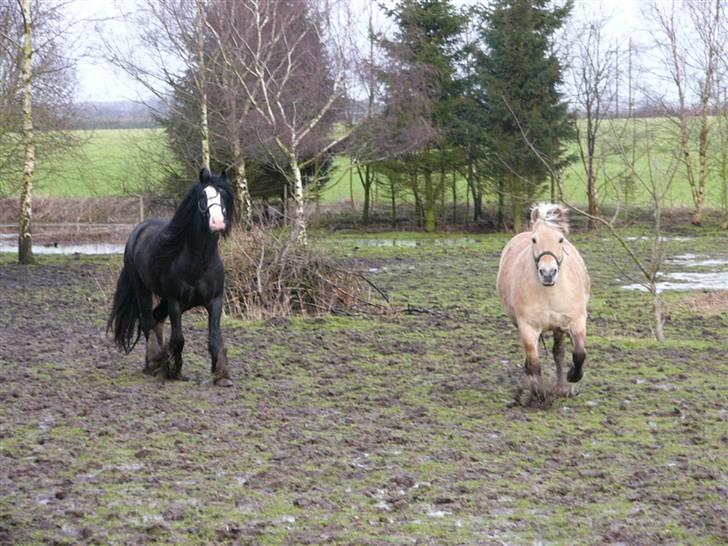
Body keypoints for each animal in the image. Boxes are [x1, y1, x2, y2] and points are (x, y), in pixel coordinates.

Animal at [107, 168, 236, 384]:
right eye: (202, 196)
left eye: (224, 196)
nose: (217, 223)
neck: (198, 261)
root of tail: (138, 231)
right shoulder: (175, 301)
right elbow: (179, 338)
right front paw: (174, 370)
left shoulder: (215, 300)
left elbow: (214, 337)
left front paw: (221, 375)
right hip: (143, 289)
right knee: (147, 321)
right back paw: (155, 362)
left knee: (156, 318)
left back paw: (156, 361)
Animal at [494, 202, 592, 388]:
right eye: (534, 240)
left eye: (561, 239)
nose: (547, 273)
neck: (550, 294)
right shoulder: (528, 327)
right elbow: (534, 364)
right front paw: (537, 391)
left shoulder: (575, 321)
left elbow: (579, 353)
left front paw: (573, 375)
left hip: (559, 328)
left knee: (558, 353)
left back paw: (561, 386)